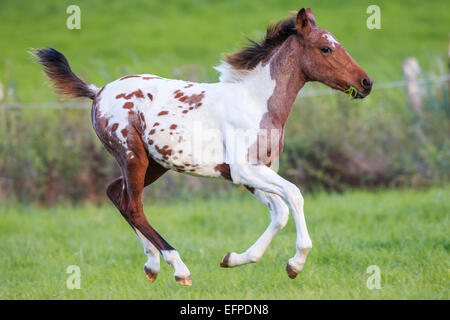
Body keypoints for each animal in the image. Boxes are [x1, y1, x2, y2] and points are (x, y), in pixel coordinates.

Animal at [34, 8, 372, 286]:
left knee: (117, 194)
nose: (366, 83)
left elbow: (279, 213)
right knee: (133, 206)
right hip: (132, 156)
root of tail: (98, 91)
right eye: (326, 48)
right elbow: (294, 195)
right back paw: (178, 268)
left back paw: (152, 265)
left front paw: (233, 259)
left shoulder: (248, 173)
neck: (255, 102)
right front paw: (296, 264)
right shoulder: (245, 170)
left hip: (155, 164)